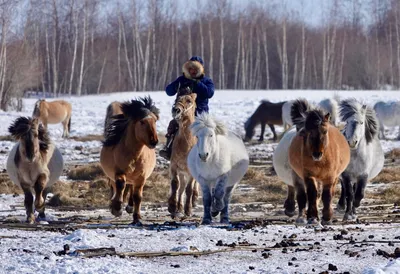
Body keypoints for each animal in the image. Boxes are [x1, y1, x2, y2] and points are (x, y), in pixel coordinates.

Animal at [100, 96, 159, 225]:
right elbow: (120, 185)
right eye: (142, 122)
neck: (134, 155)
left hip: (134, 178)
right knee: (118, 187)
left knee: (130, 189)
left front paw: (137, 218)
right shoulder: (118, 172)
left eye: (155, 121)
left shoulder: (141, 177)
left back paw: (129, 207)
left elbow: (138, 197)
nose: (154, 141)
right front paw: (116, 208)